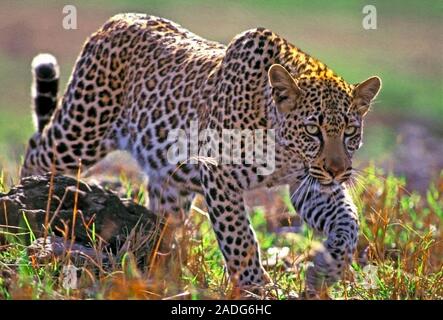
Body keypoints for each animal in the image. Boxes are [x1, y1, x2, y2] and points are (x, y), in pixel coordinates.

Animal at [21, 14, 382, 296]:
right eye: (312, 130)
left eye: (350, 131)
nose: (337, 171)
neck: (285, 150)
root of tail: (115, 21)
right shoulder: (219, 173)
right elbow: (240, 239)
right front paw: (256, 287)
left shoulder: (308, 181)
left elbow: (348, 222)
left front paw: (324, 271)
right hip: (82, 128)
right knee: (37, 150)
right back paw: (28, 209)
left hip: (167, 185)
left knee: (165, 225)